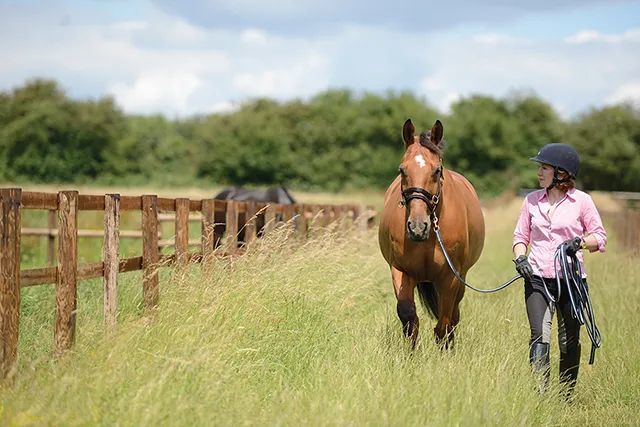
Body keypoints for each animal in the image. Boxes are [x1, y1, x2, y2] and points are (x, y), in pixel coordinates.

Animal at [376, 118, 484, 350]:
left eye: (436, 170)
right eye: (402, 170)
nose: (418, 227)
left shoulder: (450, 277)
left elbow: (444, 322)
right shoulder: (400, 270)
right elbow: (408, 315)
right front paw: (409, 354)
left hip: (461, 277)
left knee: (453, 315)